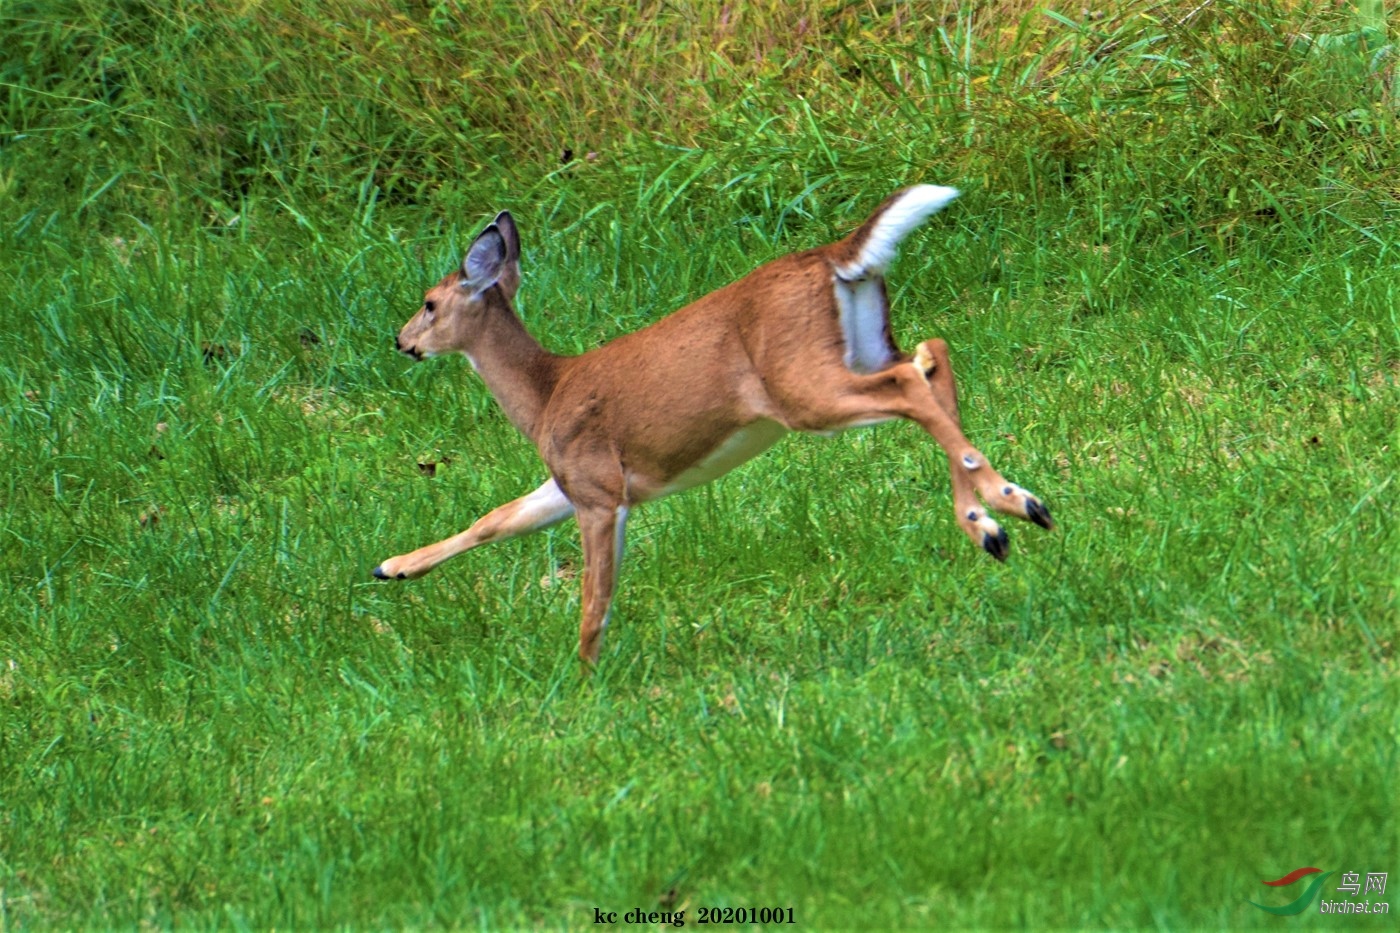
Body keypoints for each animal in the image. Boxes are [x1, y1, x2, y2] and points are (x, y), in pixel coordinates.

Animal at [372, 184, 1052, 661]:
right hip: (861, 348)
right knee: (931, 354)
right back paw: (995, 522)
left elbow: (595, 594)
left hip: (801, 386)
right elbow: (495, 519)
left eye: (429, 304)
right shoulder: (575, 482)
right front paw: (394, 566)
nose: (402, 341)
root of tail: (832, 255)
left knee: (913, 381)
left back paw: (1006, 505)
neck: (545, 397)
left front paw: (584, 676)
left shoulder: (597, 485)